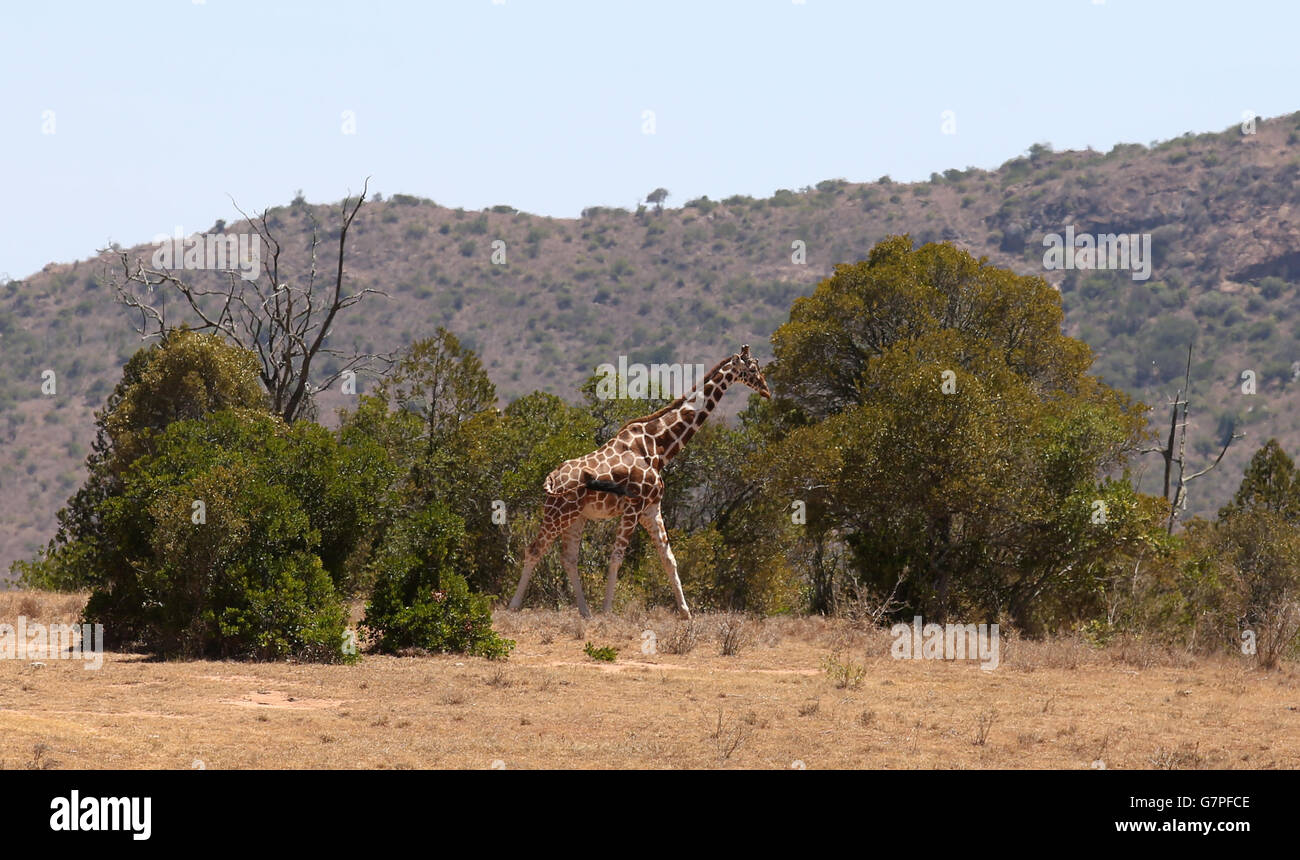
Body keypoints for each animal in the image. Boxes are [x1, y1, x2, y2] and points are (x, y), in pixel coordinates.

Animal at [506, 342, 769, 620]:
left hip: (576, 516)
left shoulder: (651, 508)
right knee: (534, 549)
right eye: (753, 368)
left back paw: (585, 612)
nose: (766, 389)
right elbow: (616, 558)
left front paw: (686, 613)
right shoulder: (633, 507)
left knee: (568, 558)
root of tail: (552, 477)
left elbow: (668, 558)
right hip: (557, 513)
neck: (659, 447)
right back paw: (514, 606)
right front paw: (607, 611)